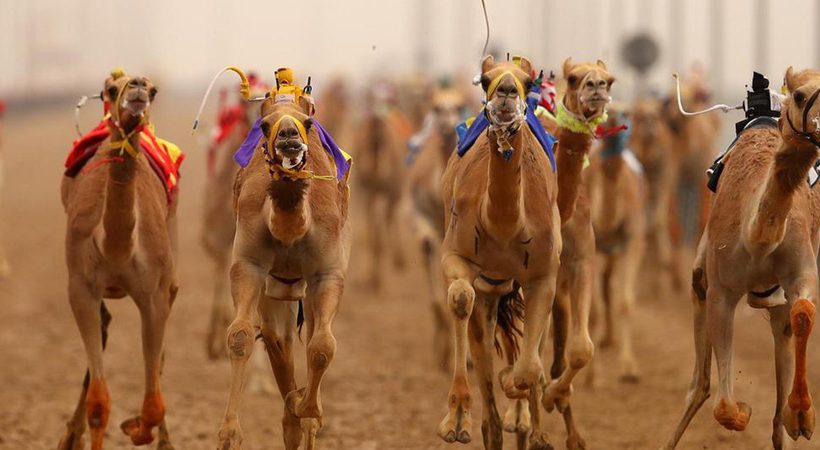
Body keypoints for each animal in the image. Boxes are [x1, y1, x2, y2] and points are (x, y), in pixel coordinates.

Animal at [664, 67, 820, 450]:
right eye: (799, 95)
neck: (758, 236)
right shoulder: (722, 290)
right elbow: (722, 406)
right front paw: (745, 411)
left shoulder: (800, 272)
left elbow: (803, 312)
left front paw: (802, 416)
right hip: (702, 276)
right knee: (699, 385)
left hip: (775, 303)